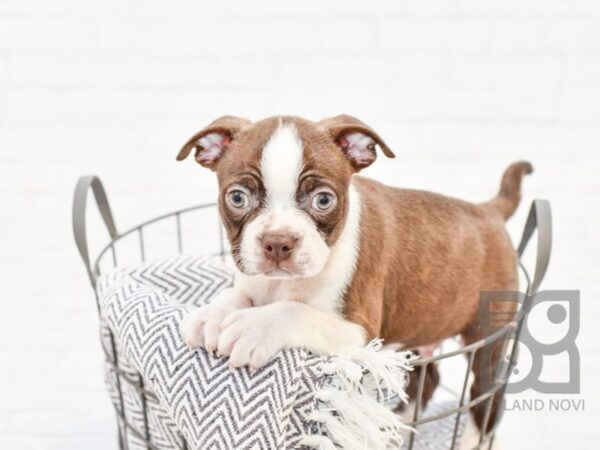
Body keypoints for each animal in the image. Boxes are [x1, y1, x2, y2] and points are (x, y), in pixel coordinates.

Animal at [177, 114, 528, 434]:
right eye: (237, 197)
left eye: (323, 200)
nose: (278, 241)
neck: (287, 285)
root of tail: (489, 210)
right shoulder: (252, 279)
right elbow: (235, 293)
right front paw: (210, 316)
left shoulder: (360, 331)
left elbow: (295, 311)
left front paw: (254, 327)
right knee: (426, 380)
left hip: (487, 337)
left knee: (485, 400)